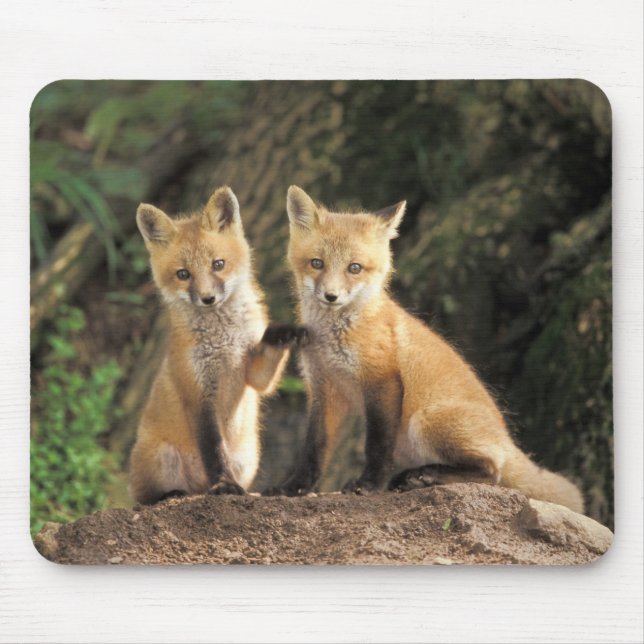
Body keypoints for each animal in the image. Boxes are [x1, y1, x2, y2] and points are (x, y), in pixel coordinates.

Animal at [130, 186, 306, 505]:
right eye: (183, 274)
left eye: (218, 265)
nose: (208, 298)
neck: (225, 341)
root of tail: (198, 488)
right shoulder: (198, 394)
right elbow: (213, 451)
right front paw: (224, 484)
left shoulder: (253, 374)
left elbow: (265, 366)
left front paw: (284, 333)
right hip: (162, 458)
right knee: (144, 498)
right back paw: (172, 494)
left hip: (248, 458)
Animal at [263, 185, 584, 514]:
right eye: (317, 263)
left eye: (355, 268)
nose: (331, 296)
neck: (333, 336)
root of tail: (507, 439)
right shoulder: (324, 388)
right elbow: (314, 448)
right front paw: (294, 488)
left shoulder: (382, 380)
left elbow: (376, 444)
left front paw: (368, 485)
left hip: (425, 420)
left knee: (492, 472)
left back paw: (425, 476)